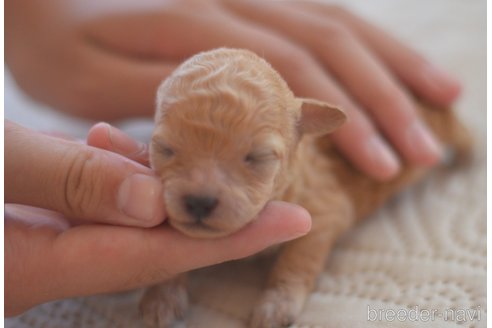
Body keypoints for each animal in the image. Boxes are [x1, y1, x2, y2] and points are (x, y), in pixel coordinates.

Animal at [138, 47, 468, 326]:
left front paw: (276, 305)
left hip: (442, 126)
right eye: (164, 149)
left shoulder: (323, 210)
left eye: (257, 157)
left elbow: (298, 259)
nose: (199, 202)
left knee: (466, 137)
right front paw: (162, 297)